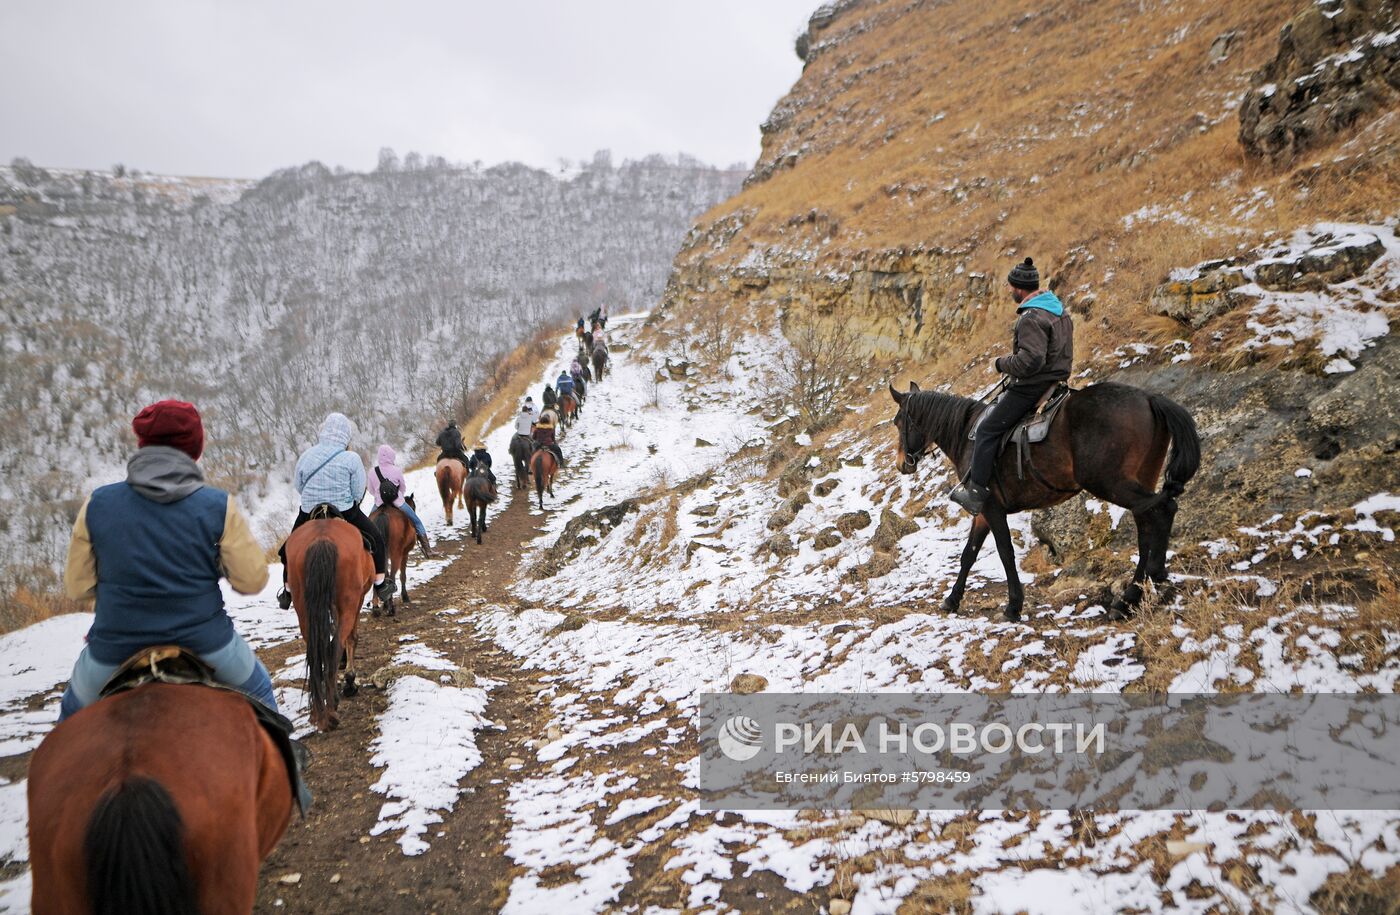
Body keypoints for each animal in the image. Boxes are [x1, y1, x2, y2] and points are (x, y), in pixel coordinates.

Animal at [282, 514, 372, 733]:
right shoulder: (357, 600)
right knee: (334, 646)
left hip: (304, 609)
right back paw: (332, 711)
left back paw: (319, 712)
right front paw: (349, 680)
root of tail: (321, 540)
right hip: (348, 604)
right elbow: (352, 638)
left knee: (315, 651)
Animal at [890, 380, 1198, 623]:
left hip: (1110, 483)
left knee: (1163, 509)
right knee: (1147, 524)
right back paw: (1128, 599)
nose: (901, 464)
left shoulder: (991, 507)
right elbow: (969, 554)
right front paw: (952, 600)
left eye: (899, 422)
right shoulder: (982, 511)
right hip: (1138, 478)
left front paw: (1013, 606)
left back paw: (1153, 576)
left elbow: (1005, 552)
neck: (967, 434)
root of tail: (1149, 398)